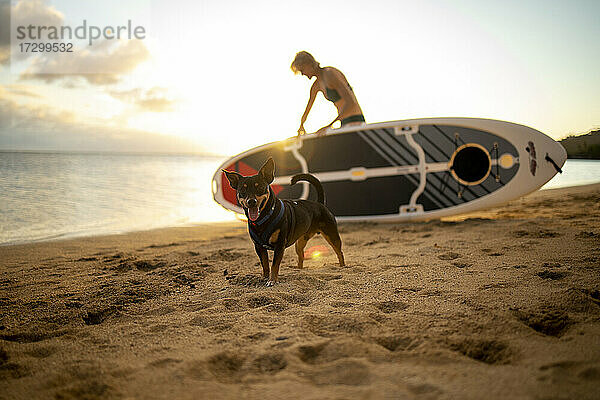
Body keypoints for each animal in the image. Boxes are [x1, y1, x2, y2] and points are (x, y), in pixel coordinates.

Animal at [223, 158, 344, 286]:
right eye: (242, 190)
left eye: (260, 188)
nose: (251, 201)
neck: (263, 218)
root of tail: (319, 204)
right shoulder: (259, 247)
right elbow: (265, 265)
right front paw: (265, 277)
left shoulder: (279, 245)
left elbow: (274, 265)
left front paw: (272, 280)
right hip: (300, 242)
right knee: (301, 255)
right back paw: (299, 269)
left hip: (332, 235)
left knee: (339, 252)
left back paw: (342, 267)